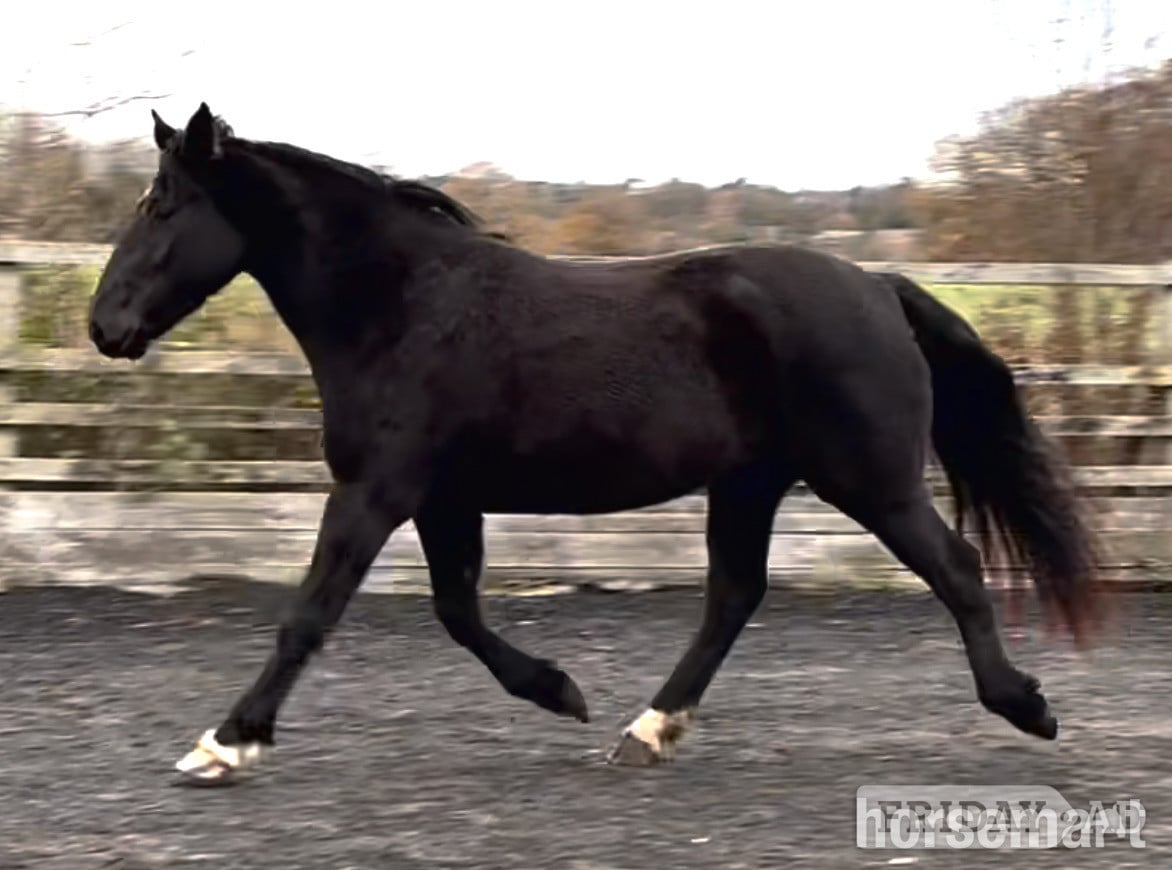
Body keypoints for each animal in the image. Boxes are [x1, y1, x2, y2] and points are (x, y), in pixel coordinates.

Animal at [88, 103, 1103, 786]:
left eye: (164, 206)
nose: (105, 326)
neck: (403, 307)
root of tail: (878, 286)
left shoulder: (376, 491)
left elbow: (310, 614)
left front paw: (224, 743)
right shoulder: (441, 498)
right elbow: (457, 611)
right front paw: (560, 691)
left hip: (870, 479)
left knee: (955, 567)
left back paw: (1029, 707)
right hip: (750, 483)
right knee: (735, 596)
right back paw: (647, 730)